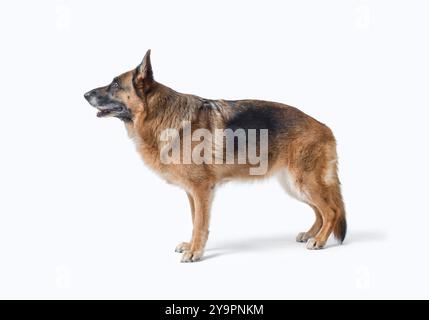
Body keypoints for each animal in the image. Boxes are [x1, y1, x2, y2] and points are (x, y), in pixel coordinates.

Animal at [83, 48, 344, 262]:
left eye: (115, 85)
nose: (85, 94)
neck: (159, 115)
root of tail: (326, 127)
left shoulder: (201, 190)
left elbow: (200, 223)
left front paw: (195, 252)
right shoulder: (192, 193)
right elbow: (194, 220)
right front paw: (192, 246)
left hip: (302, 183)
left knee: (331, 211)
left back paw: (320, 240)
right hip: (293, 185)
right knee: (320, 210)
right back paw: (311, 234)